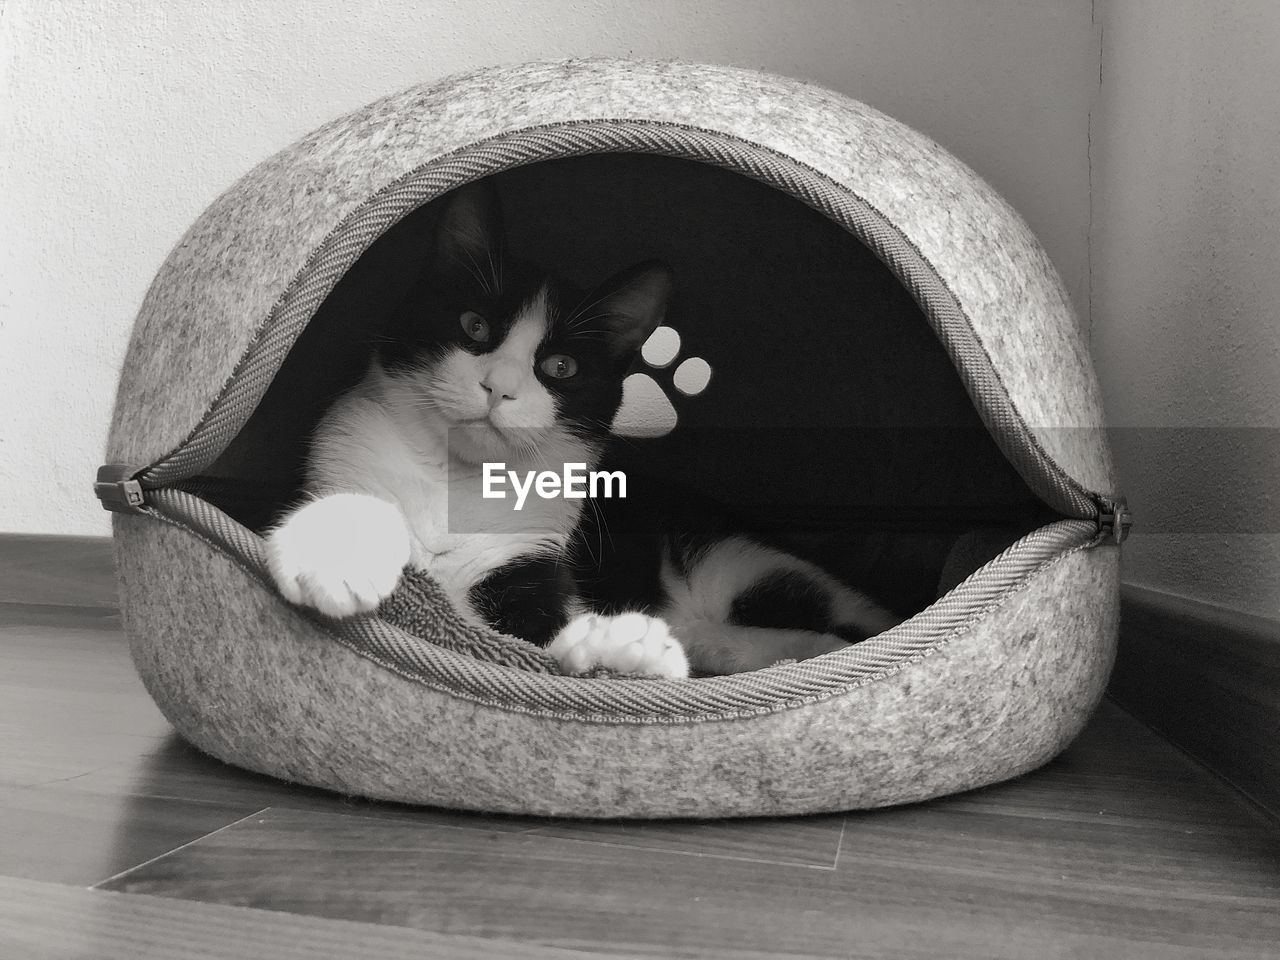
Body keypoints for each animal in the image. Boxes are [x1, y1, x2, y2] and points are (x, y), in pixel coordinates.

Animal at [266, 180, 901, 675]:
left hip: (735, 563)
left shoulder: (535, 551)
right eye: (474, 326)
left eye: (560, 367)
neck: (457, 478)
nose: (499, 386)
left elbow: (513, 633)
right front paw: (335, 555)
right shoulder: (345, 448)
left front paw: (619, 644)